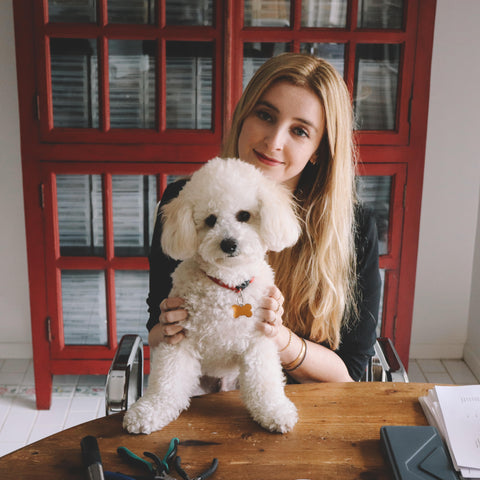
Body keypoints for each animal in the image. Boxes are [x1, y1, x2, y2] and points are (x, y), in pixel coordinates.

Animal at [124, 158, 304, 436]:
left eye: (244, 215)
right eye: (210, 220)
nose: (228, 243)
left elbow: (265, 382)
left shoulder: (258, 342)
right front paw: (148, 411)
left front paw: (275, 411)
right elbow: (166, 383)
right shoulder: (179, 338)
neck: (228, 285)